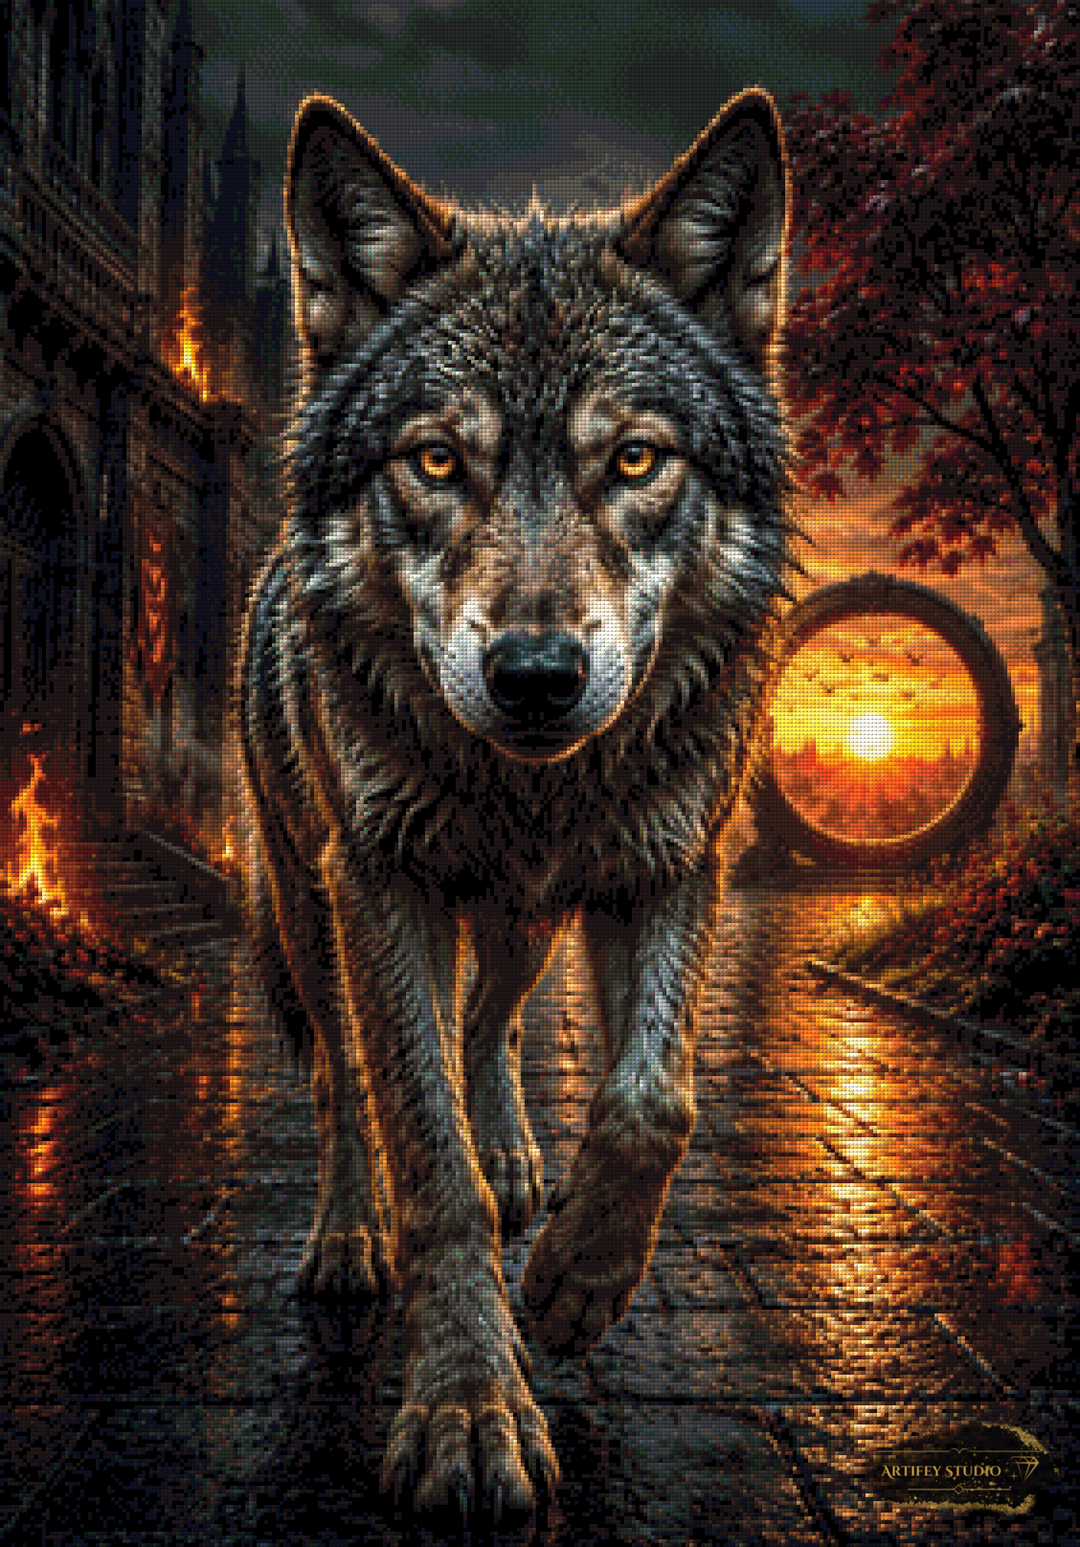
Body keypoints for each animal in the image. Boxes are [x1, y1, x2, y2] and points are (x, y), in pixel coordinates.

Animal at [237, 85, 792, 1522]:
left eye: (637, 458)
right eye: (437, 460)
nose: (536, 676)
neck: (535, 795)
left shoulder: (673, 861)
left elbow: (654, 1103)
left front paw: (577, 1282)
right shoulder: (381, 881)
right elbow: (425, 1155)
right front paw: (469, 1411)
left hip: (527, 927)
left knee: (489, 1023)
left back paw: (519, 1164)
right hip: (311, 905)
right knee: (349, 1079)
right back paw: (348, 1234)